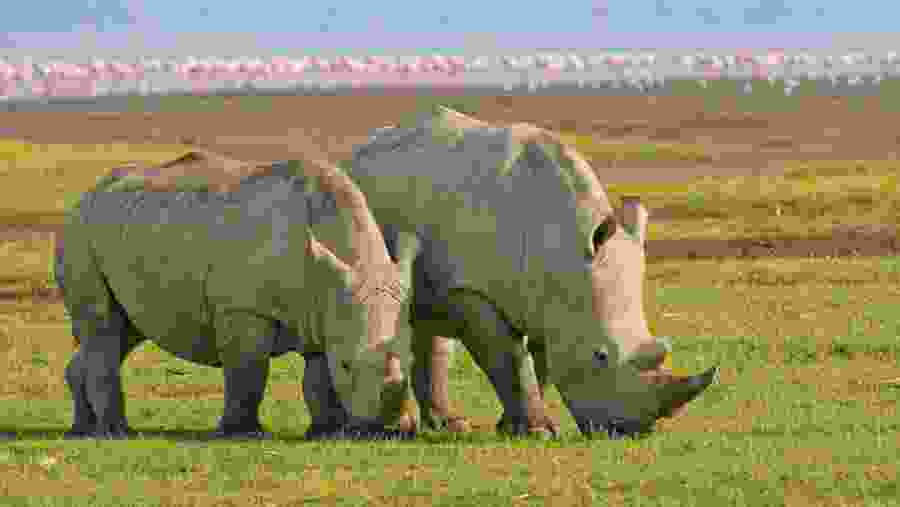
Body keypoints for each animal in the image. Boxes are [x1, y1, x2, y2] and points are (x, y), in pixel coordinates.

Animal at [54, 150, 420, 439]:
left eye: (413, 361)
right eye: (346, 365)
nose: (389, 429)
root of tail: (84, 196)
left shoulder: (323, 308)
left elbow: (318, 376)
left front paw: (325, 431)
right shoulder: (242, 307)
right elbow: (248, 371)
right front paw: (244, 433)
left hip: (127, 224)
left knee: (124, 330)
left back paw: (82, 430)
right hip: (79, 231)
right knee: (103, 326)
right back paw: (116, 432)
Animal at [334, 106, 718, 438]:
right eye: (600, 356)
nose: (630, 430)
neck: (563, 247)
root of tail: (352, 152)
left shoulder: (551, 298)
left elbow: (541, 361)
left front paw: (515, 427)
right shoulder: (474, 290)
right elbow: (510, 358)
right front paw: (538, 431)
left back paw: (451, 426)